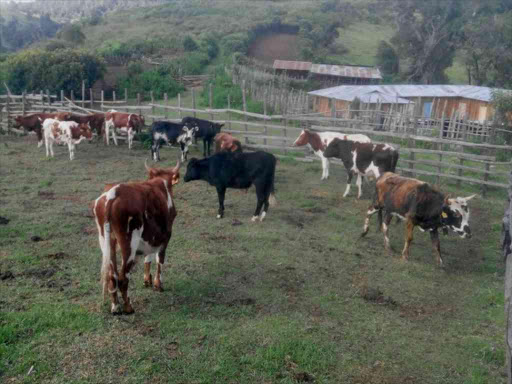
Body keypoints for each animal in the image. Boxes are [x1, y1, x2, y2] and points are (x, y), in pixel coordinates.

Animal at [93, 159, 181, 316]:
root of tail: (112, 194)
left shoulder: (151, 237)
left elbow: (148, 257)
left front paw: (147, 280)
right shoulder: (166, 236)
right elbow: (160, 259)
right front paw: (158, 284)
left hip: (106, 241)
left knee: (112, 275)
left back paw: (115, 307)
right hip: (128, 243)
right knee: (123, 277)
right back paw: (128, 307)